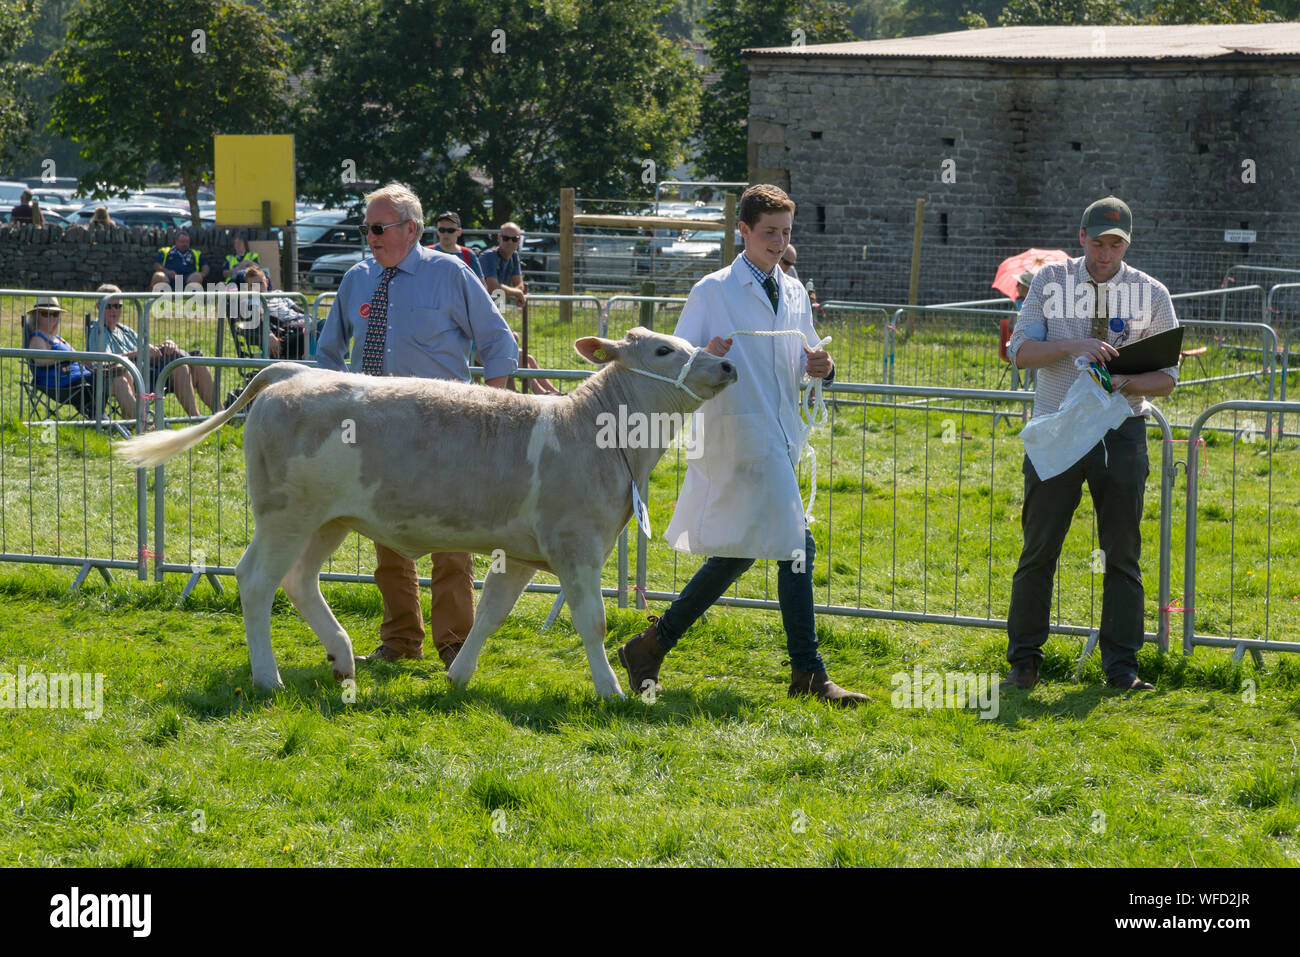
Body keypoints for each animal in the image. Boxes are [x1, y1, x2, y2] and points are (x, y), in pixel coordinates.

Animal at [116, 328, 738, 696]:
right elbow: (593, 620)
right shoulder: (576, 545)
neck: (591, 430)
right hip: (286, 515)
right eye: (664, 350)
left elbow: (490, 613)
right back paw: (269, 678)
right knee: (255, 581)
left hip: (327, 521)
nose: (727, 366)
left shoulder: (521, 553)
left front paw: (458, 676)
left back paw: (342, 657)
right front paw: (610, 690)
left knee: (298, 580)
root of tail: (291, 372)